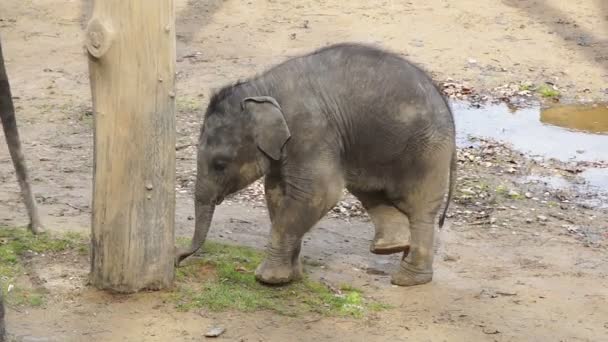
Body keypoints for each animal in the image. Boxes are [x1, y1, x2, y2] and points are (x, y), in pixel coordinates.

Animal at [178, 43, 454, 288]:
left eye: (220, 164)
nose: (179, 259)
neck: (262, 88)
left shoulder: (310, 130)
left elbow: (320, 192)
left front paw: (267, 279)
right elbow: (276, 193)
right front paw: (290, 277)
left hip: (426, 151)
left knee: (419, 209)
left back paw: (407, 279)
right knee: (371, 192)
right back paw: (391, 247)